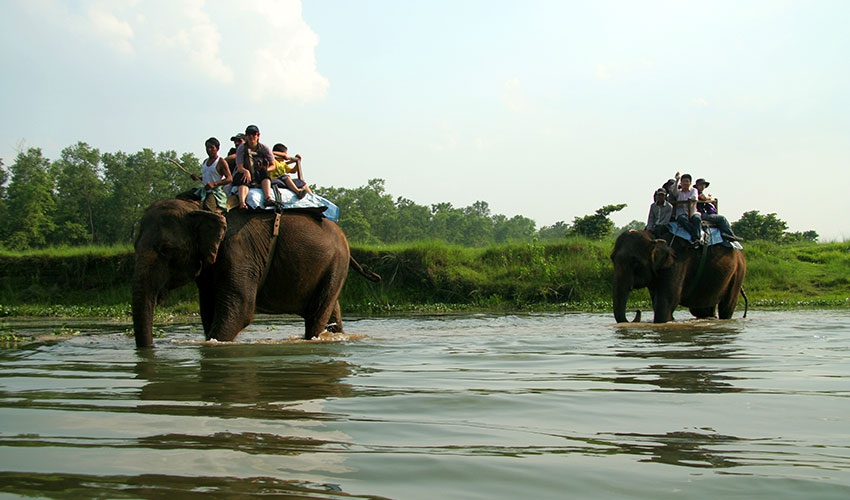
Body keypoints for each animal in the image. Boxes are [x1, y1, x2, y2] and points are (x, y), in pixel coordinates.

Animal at [132, 196, 378, 348]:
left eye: (166, 250)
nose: (150, 348)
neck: (199, 205)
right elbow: (208, 310)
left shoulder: (239, 250)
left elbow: (239, 309)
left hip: (336, 264)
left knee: (317, 316)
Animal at [608, 230, 744, 324]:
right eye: (612, 258)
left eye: (634, 262)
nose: (638, 310)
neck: (653, 236)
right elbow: (658, 301)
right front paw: (671, 319)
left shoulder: (677, 263)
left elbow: (666, 302)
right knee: (701, 310)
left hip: (738, 271)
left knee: (727, 306)